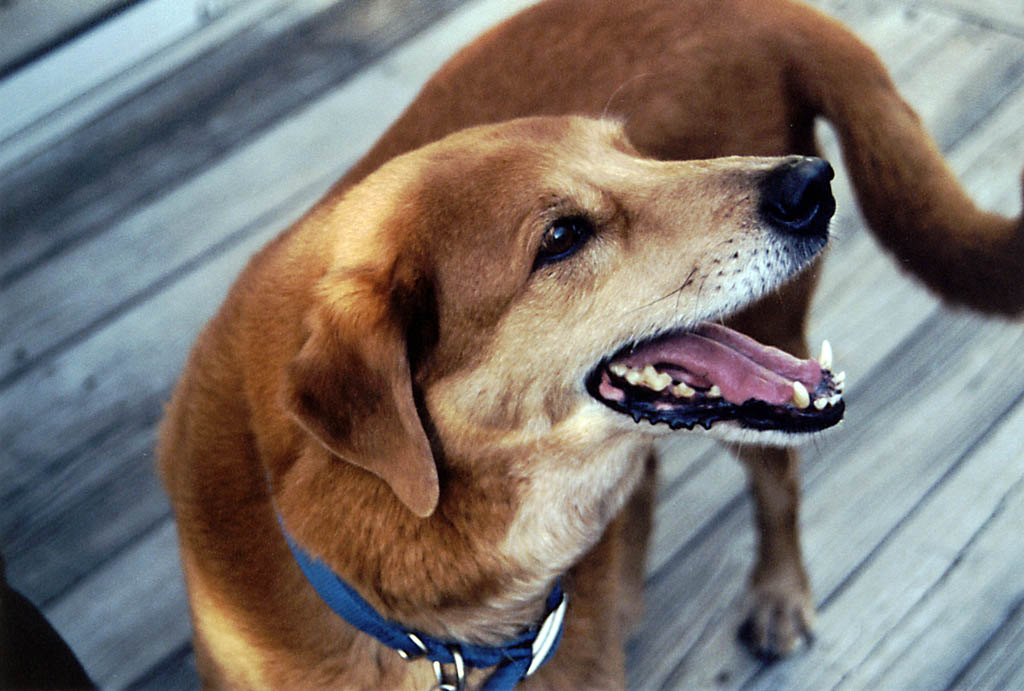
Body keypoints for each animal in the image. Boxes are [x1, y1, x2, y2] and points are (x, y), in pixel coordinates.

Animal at [155, 0, 1019, 687]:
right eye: (562, 236)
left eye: (639, 158)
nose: (813, 185)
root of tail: (766, 9)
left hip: (769, 332)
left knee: (778, 484)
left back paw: (777, 592)